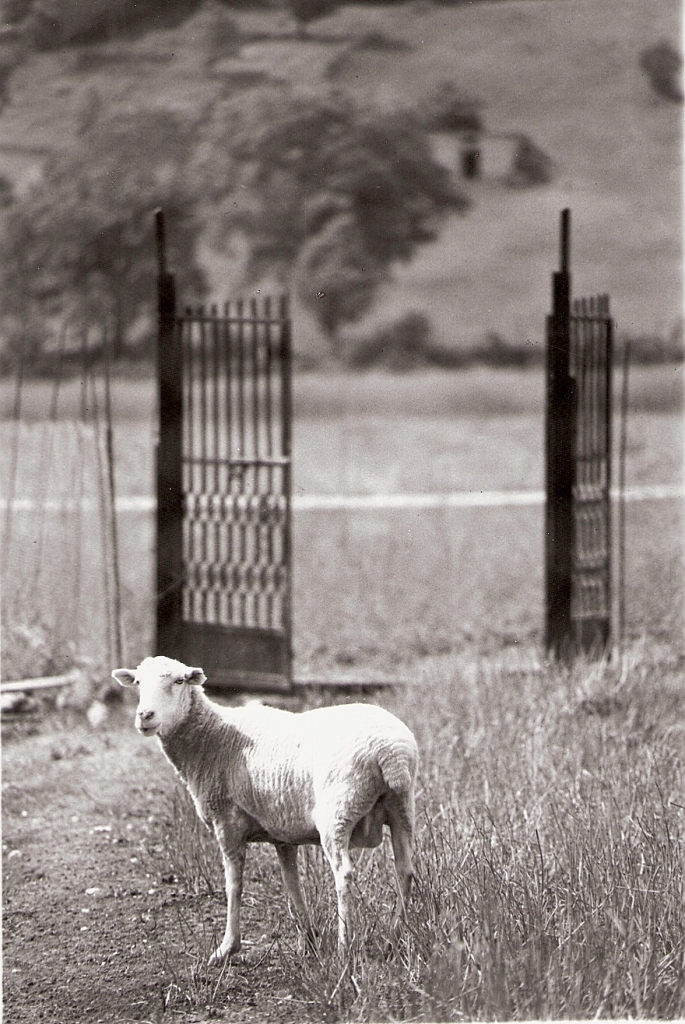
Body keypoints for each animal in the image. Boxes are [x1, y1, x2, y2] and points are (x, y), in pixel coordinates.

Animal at [112, 655, 417, 958]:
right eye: (137, 682)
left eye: (179, 681)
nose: (145, 716)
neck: (210, 738)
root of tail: (391, 752)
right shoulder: (282, 830)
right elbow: (291, 882)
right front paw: (308, 939)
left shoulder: (226, 822)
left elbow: (234, 885)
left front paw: (228, 947)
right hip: (402, 808)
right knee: (404, 871)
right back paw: (394, 940)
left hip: (338, 812)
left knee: (344, 874)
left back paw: (345, 948)